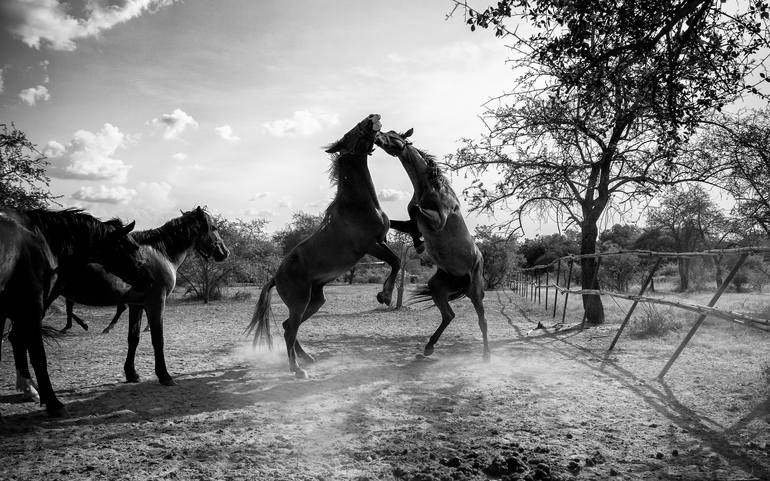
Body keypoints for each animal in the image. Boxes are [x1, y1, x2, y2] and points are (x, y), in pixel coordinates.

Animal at [14, 206, 228, 390]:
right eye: (214, 228)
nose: (224, 252)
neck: (160, 253)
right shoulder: (156, 303)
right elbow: (158, 340)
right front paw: (164, 376)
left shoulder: (136, 305)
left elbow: (133, 338)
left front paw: (131, 373)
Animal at [248, 114, 402, 376]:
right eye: (350, 133)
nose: (373, 117)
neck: (358, 205)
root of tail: (276, 277)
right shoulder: (370, 245)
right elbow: (395, 261)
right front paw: (385, 296)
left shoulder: (382, 241)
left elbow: (396, 262)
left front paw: (385, 294)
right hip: (300, 301)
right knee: (290, 329)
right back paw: (297, 369)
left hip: (315, 301)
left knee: (289, 326)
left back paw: (307, 359)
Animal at [376, 127, 488, 360]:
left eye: (394, 134)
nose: (377, 136)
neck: (433, 189)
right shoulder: (413, 224)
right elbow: (403, 220)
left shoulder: (437, 221)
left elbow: (415, 209)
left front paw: (419, 245)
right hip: (438, 287)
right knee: (449, 315)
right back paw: (429, 346)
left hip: (475, 292)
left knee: (482, 321)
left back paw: (487, 356)